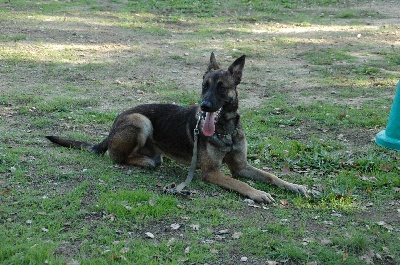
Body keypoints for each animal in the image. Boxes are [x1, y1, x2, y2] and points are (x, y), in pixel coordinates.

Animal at [47, 53, 310, 202]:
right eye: (204, 86)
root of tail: (112, 127)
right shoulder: (211, 173)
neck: (225, 129)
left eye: (222, 87)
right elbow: (240, 183)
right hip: (141, 121)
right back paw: (144, 161)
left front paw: (296, 187)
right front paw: (258, 194)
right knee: (117, 156)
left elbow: (271, 176)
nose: (204, 106)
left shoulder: (241, 166)